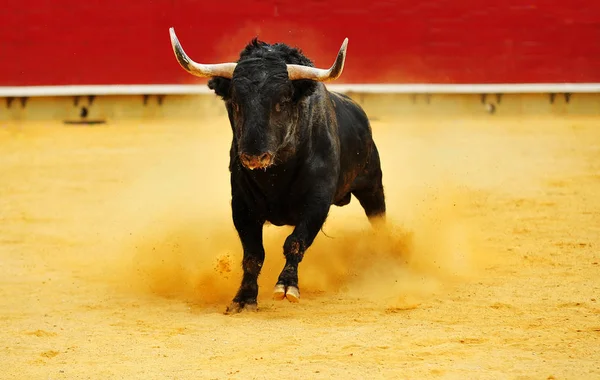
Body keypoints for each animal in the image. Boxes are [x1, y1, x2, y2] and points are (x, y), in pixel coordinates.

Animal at [166, 26, 386, 312]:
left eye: (281, 102)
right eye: (235, 103)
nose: (254, 156)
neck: (276, 173)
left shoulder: (317, 202)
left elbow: (295, 242)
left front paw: (287, 286)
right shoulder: (242, 205)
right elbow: (253, 254)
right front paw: (244, 298)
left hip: (372, 184)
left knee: (379, 218)